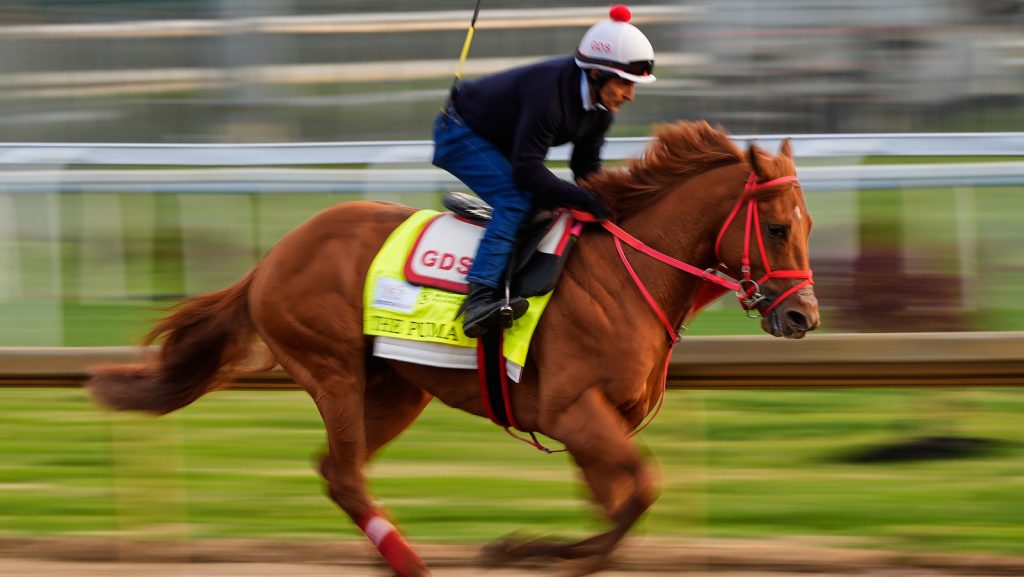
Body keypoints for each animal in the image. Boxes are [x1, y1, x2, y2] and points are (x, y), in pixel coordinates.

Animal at [88, 120, 819, 577]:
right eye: (778, 228)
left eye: (807, 225)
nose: (803, 316)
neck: (627, 274)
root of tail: (273, 258)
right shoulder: (574, 411)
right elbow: (639, 493)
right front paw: (520, 549)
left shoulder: (600, 425)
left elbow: (620, 506)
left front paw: (539, 548)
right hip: (334, 369)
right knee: (346, 474)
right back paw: (414, 562)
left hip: (396, 389)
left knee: (335, 470)